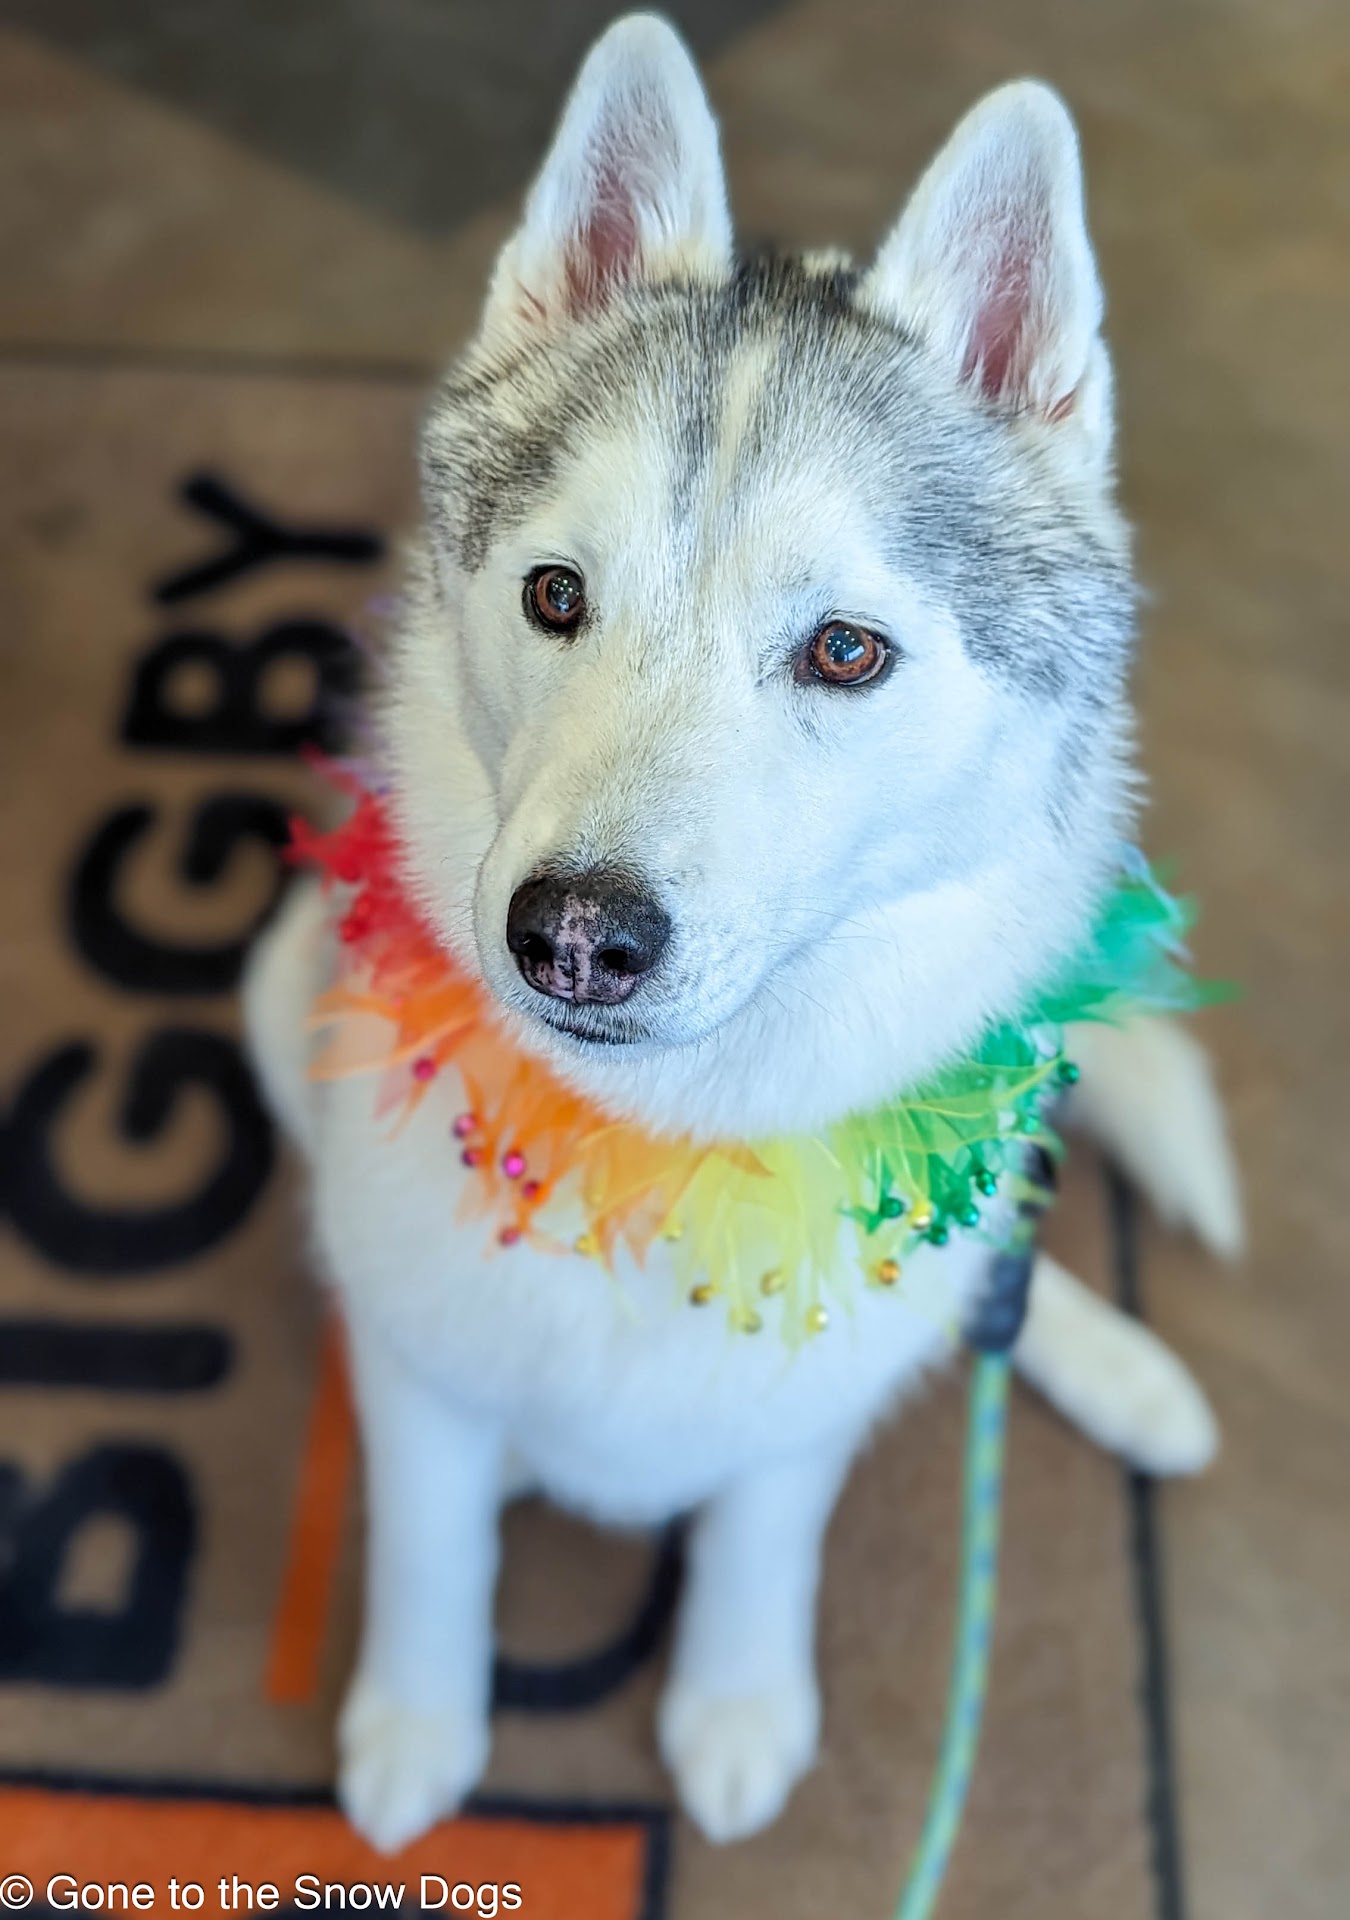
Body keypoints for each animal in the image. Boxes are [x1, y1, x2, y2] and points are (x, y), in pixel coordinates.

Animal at [243, 14, 1242, 1853]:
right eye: (554, 596)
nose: (573, 938)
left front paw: (734, 1700)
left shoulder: (795, 1430)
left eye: (845, 651)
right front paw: (418, 1723)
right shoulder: (423, 1385)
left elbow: (765, 1536)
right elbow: (432, 1544)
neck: (673, 1148)